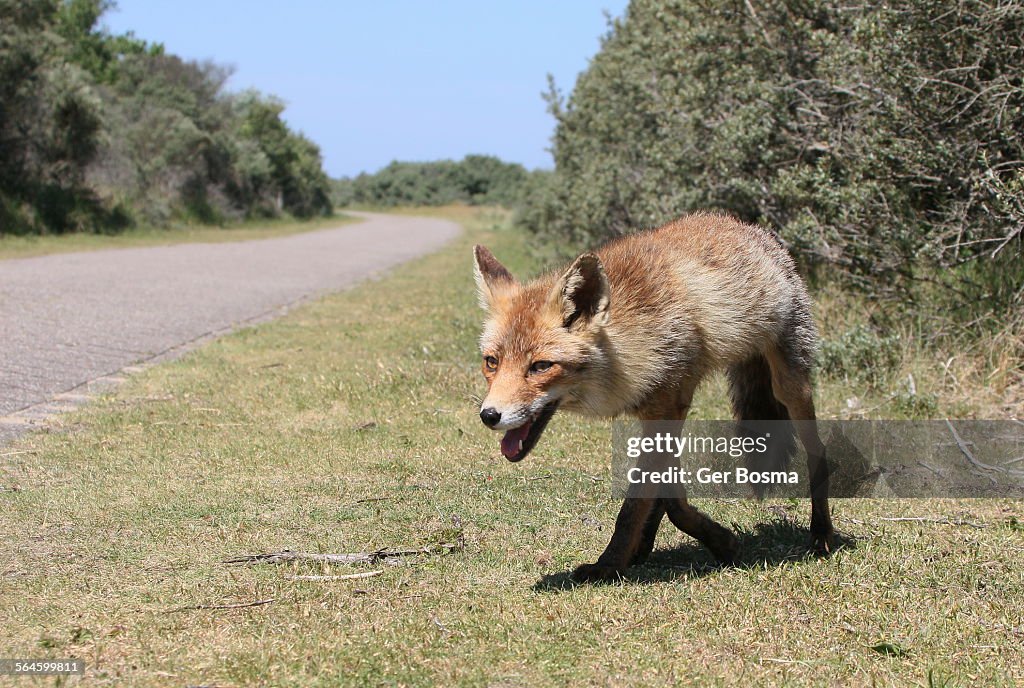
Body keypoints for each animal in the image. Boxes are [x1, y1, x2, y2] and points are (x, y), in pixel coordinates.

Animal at [475, 210, 835, 581]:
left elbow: (639, 504)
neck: (631, 342)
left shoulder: (668, 406)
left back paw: (822, 533)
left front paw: (609, 565)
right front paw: (716, 540)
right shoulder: (661, 411)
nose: (489, 415)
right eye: (491, 362)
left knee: (820, 452)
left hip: (789, 383)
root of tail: (754, 230)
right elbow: (666, 496)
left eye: (540, 366)